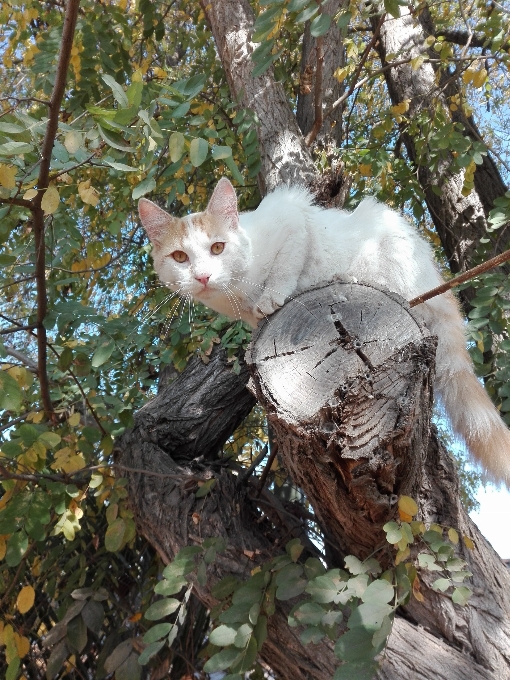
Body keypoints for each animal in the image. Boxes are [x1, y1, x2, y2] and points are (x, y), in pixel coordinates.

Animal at [138, 175, 510, 484]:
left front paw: (272, 296)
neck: (238, 294)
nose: (202, 276)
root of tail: (438, 283)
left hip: (388, 243)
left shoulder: (291, 216)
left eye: (218, 248)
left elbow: (288, 264)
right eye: (180, 257)